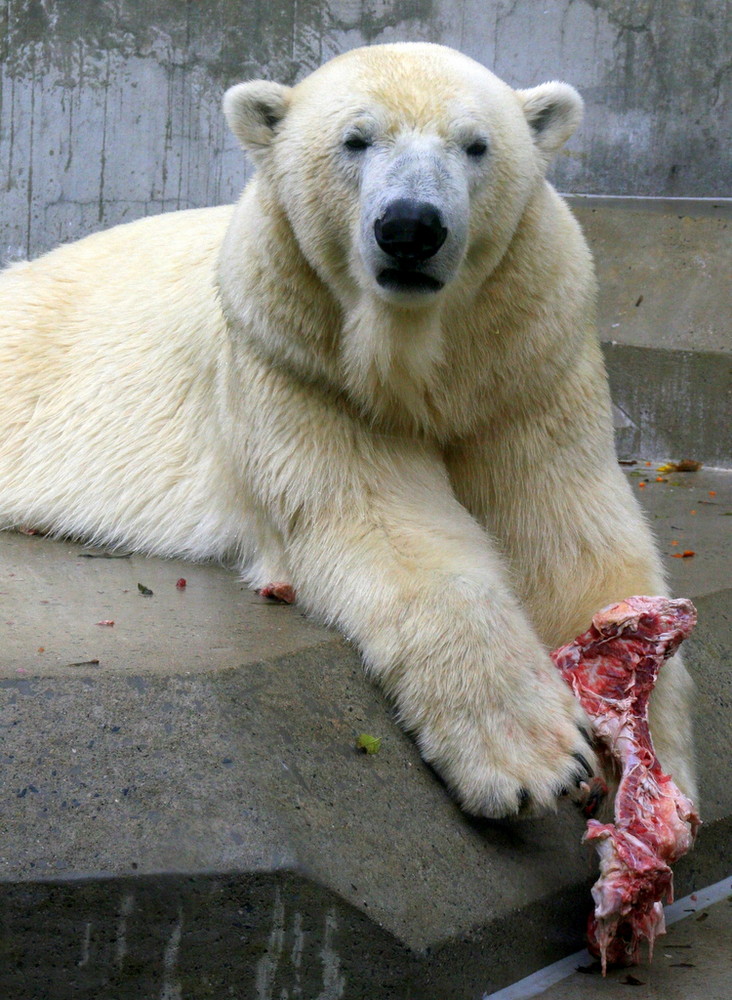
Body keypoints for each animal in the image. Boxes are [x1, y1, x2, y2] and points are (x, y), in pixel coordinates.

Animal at [0, 43, 692, 816]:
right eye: (356, 140)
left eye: (475, 144)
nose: (411, 227)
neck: (417, 357)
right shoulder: (301, 359)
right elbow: (384, 526)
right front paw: (534, 760)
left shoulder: (528, 362)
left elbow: (567, 535)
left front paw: (649, 760)